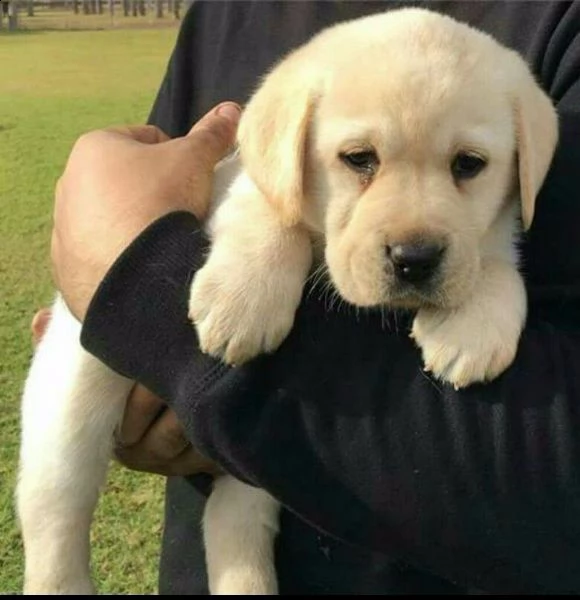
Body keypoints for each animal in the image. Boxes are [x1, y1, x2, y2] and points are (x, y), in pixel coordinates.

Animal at [18, 8, 556, 596]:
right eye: (359, 159)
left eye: (469, 165)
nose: (414, 259)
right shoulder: (239, 180)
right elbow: (272, 209)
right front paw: (244, 299)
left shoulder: (489, 228)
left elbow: (494, 251)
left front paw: (472, 322)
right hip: (73, 387)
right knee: (55, 503)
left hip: (254, 471)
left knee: (231, 524)